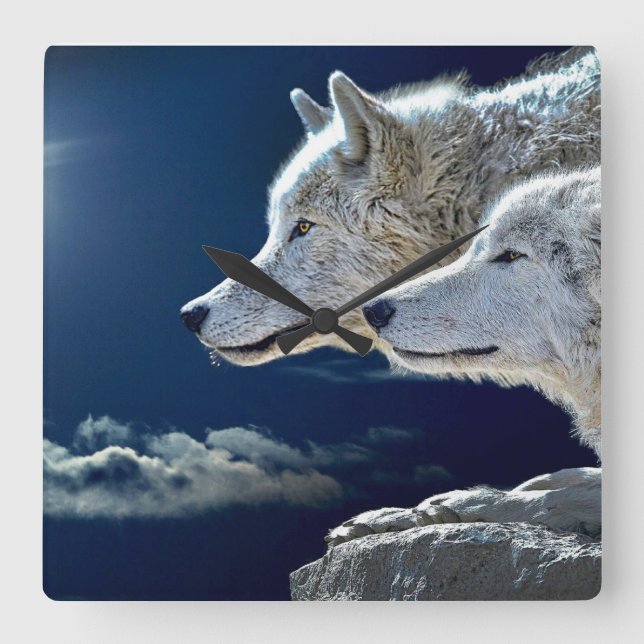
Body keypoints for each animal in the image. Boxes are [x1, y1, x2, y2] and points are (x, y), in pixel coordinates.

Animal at [326, 166, 601, 546]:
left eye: (512, 255)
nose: (373, 310)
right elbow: (569, 477)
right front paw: (396, 515)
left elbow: (556, 497)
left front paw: (456, 505)